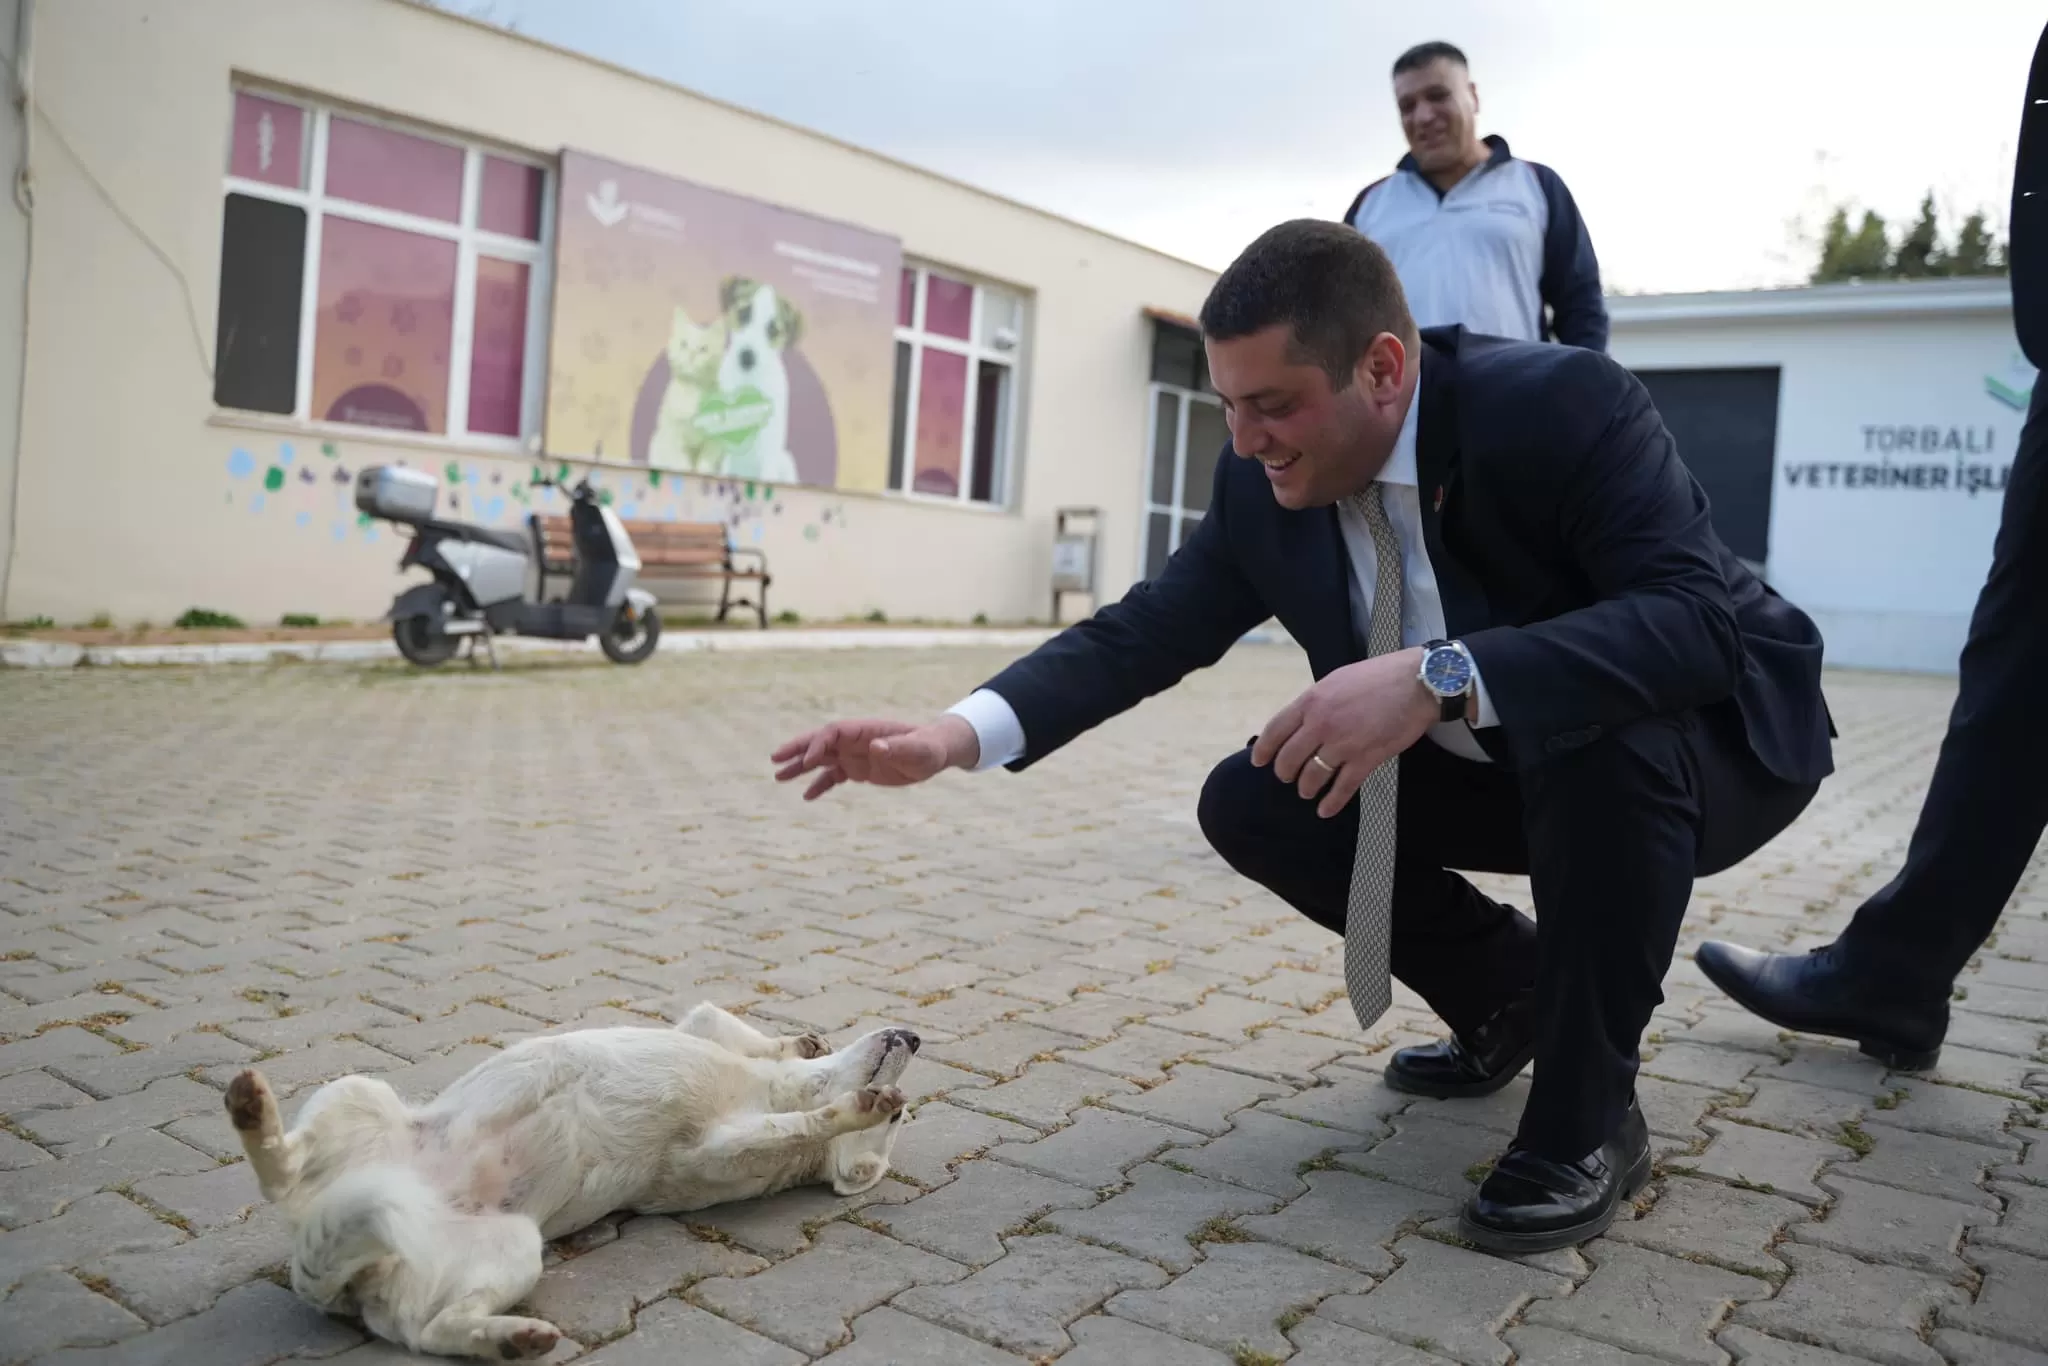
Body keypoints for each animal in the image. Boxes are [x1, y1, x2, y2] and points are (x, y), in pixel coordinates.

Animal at [222, 999, 913, 1359]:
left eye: (899, 1120)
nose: (914, 1035)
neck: (768, 1090)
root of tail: (336, 1278)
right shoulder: (702, 1033)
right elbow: (731, 1024)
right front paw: (801, 1042)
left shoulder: (717, 1150)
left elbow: (800, 1124)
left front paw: (850, 1109)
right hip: (357, 1093)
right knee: (283, 1176)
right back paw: (254, 1113)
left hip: (513, 1248)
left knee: (431, 1329)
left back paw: (513, 1338)